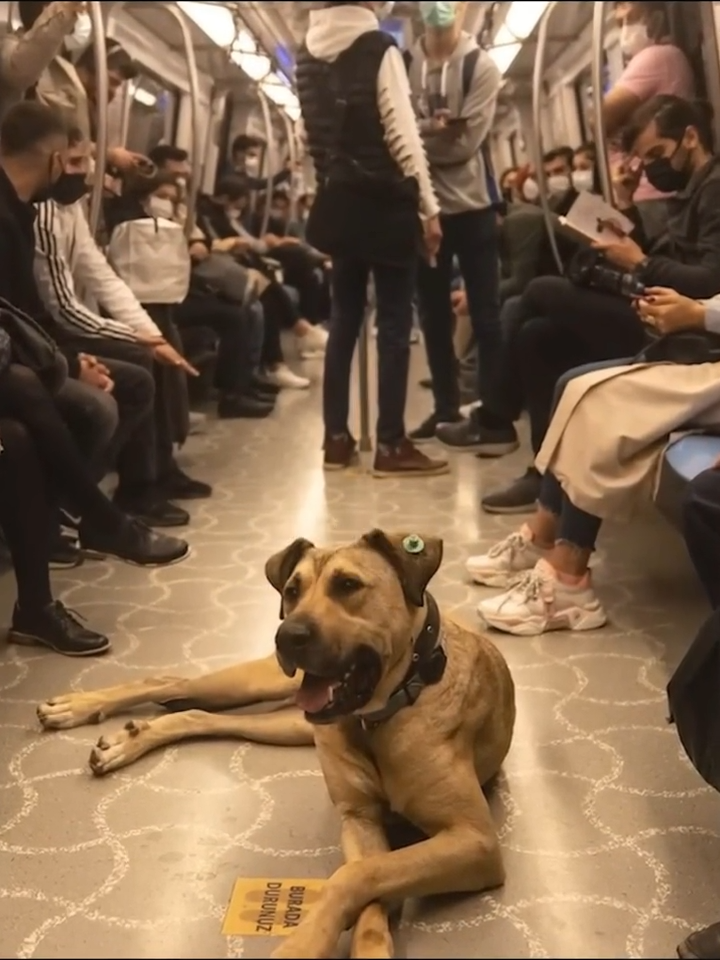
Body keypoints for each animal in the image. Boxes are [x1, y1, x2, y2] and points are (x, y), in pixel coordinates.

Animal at [36, 528, 516, 956]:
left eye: (348, 585)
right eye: (291, 590)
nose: (288, 636)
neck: (377, 718)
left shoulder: (474, 840)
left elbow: (362, 877)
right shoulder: (359, 819)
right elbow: (362, 876)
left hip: (288, 724)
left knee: (195, 712)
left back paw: (129, 736)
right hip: (259, 683)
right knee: (168, 682)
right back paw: (78, 707)